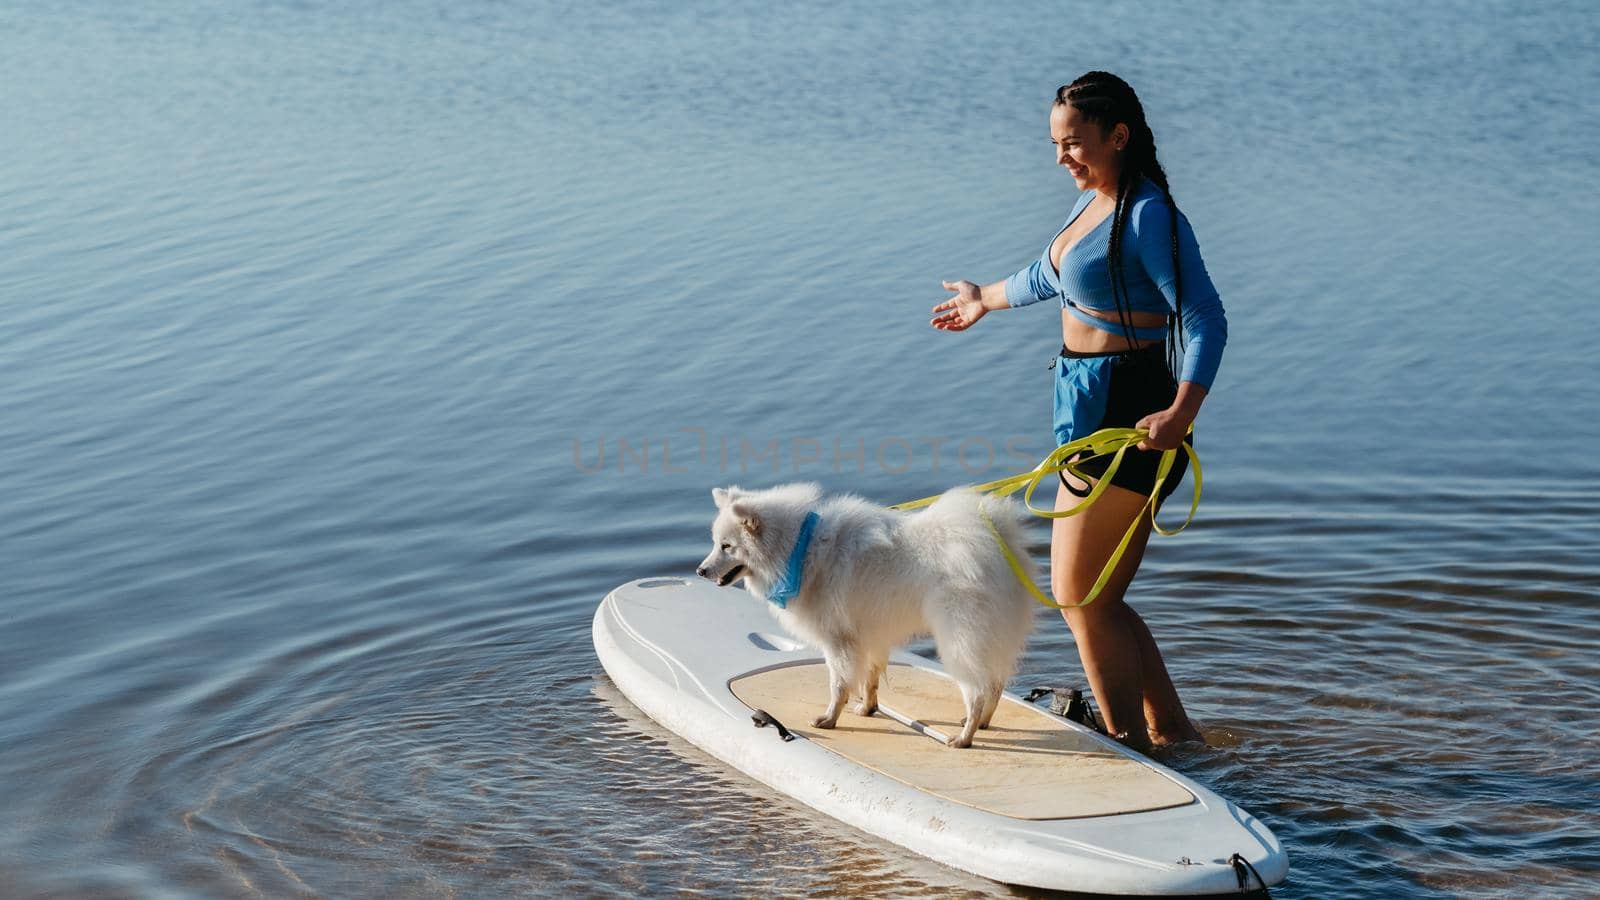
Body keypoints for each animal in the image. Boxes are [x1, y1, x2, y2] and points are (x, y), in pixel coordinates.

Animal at [700, 480, 1036, 746]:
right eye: (715, 543)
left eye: (727, 546)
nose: (700, 570)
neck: (800, 549)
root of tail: (997, 540)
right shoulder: (869, 635)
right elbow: (869, 679)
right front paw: (866, 709)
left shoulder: (838, 640)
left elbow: (838, 684)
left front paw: (829, 719)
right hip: (991, 635)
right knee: (995, 684)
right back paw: (982, 723)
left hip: (960, 640)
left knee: (977, 690)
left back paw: (965, 737)